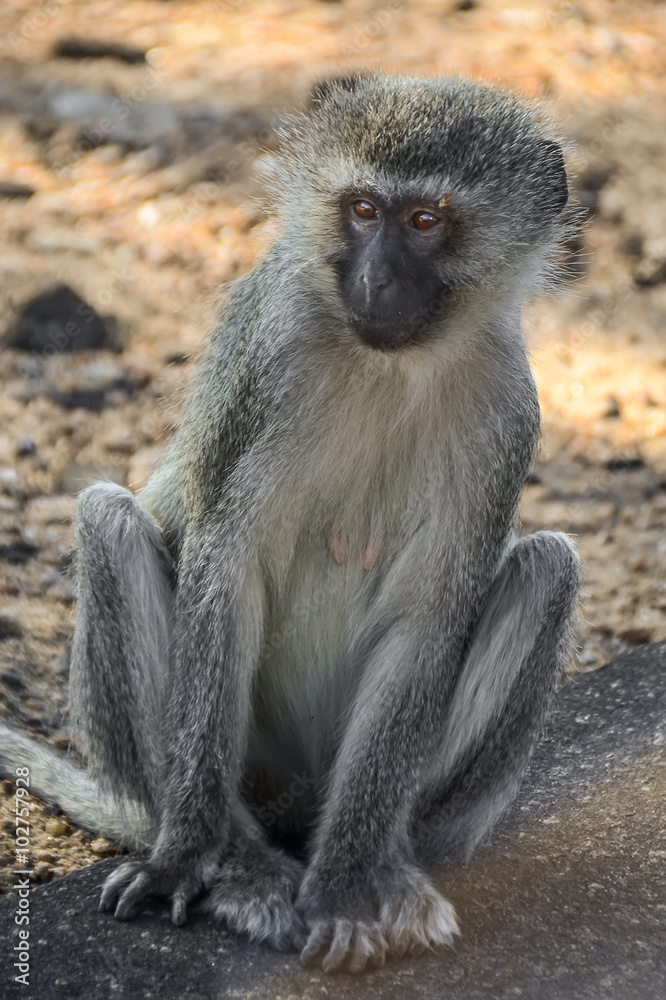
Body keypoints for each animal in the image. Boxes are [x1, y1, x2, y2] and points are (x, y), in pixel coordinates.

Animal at [0, 72, 580, 976]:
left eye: (426, 221)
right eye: (363, 211)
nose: (375, 282)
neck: (390, 365)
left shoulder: (506, 409)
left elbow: (426, 622)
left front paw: (345, 885)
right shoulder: (271, 360)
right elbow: (227, 568)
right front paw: (190, 860)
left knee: (549, 566)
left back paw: (385, 864)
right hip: (244, 766)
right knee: (109, 523)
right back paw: (237, 858)